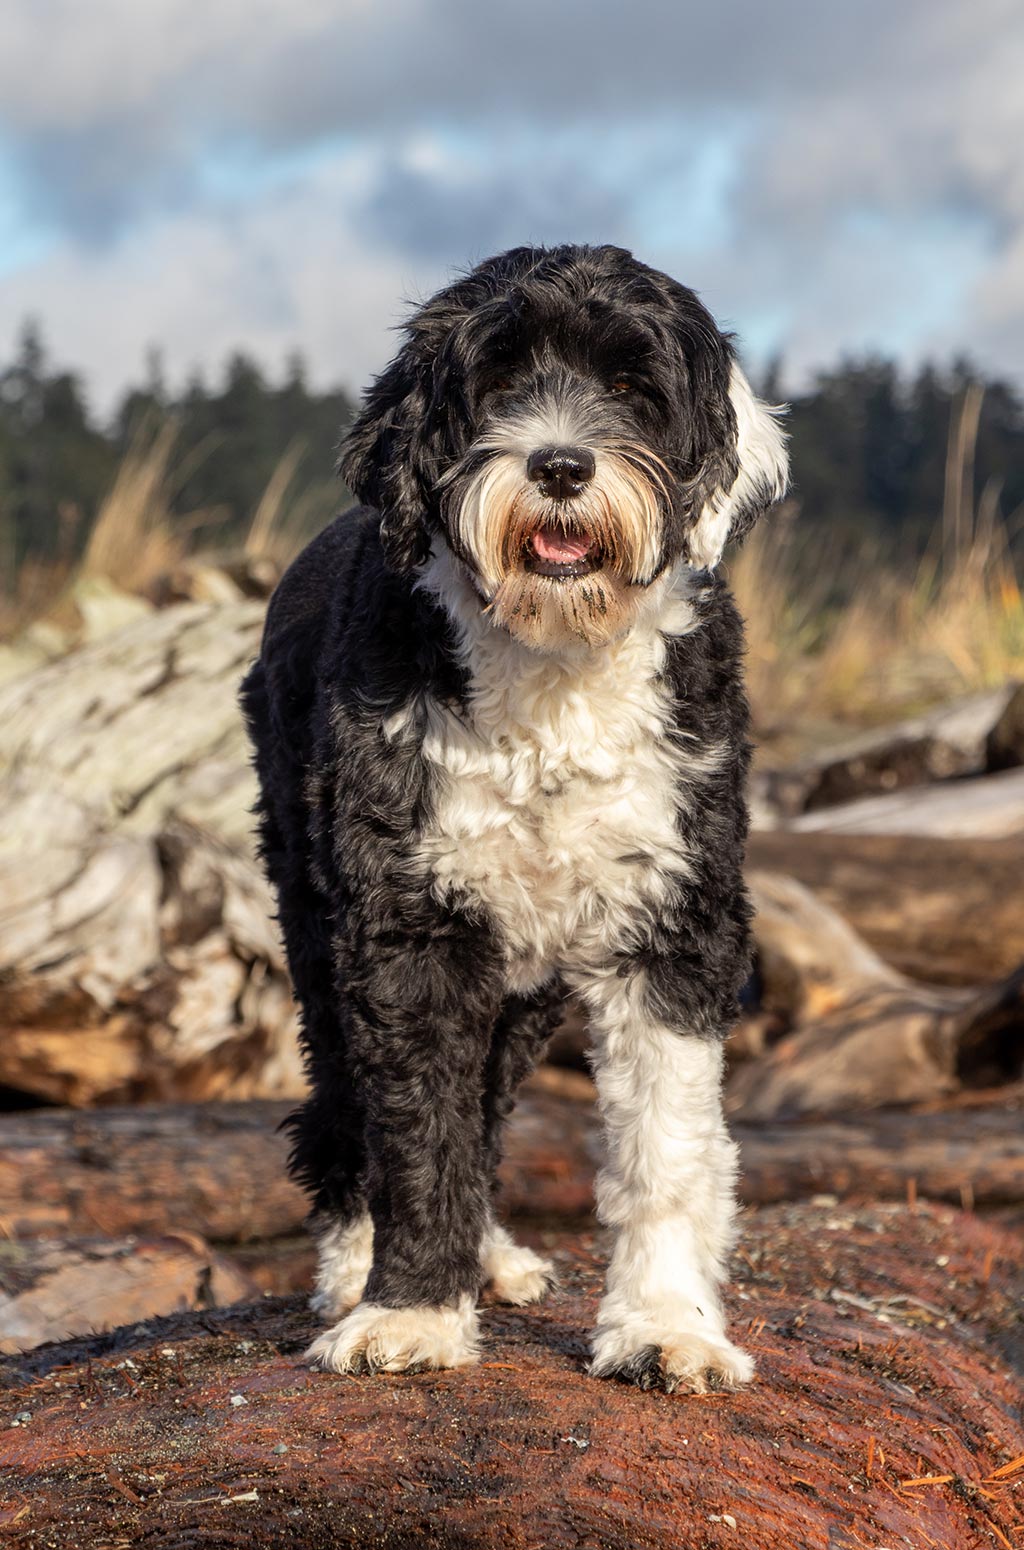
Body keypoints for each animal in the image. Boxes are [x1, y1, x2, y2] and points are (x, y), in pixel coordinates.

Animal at [243, 241, 786, 1395]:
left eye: (630, 384)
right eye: (495, 380)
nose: (562, 465)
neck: (554, 672)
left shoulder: (672, 926)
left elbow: (666, 1149)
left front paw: (665, 1327)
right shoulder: (404, 928)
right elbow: (416, 1127)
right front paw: (408, 1310)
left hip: (524, 974)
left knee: (489, 1100)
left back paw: (489, 1254)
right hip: (315, 916)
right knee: (346, 1106)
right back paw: (353, 1264)